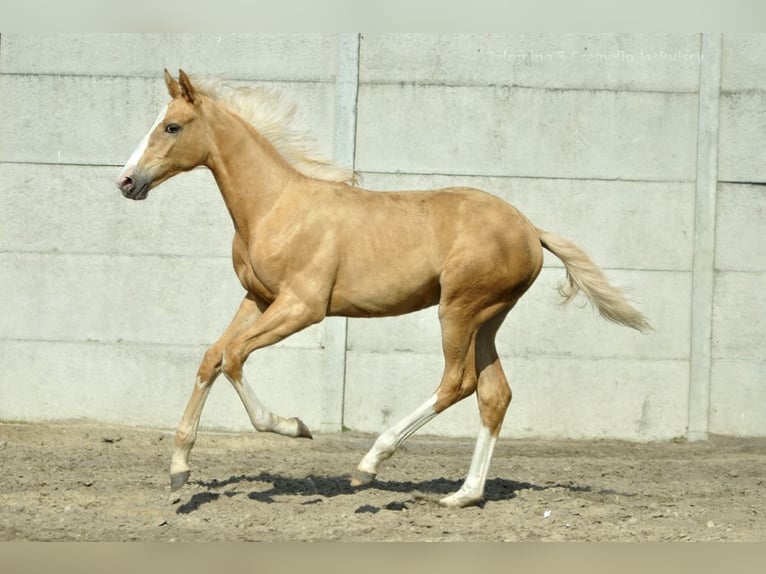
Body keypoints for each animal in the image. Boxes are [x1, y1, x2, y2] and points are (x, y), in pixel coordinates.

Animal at [117, 68, 652, 508]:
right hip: (488, 319)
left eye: (171, 126)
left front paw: (295, 428)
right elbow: (212, 356)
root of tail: (529, 228)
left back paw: (369, 465)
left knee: (457, 383)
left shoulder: (303, 307)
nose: (126, 182)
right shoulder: (260, 299)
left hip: (458, 310)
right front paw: (179, 471)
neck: (275, 205)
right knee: (494, 393)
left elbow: (234, 357)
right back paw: (464, 495)